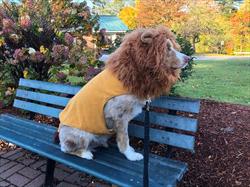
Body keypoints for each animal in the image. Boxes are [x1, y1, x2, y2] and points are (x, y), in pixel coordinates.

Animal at [59, 25, 191, 161]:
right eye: (167, 48)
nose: (188, 58)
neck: (129, 73)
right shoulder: (119, 116)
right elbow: (124, 138)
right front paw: (131, 155)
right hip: (80, 135)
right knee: (67, 148)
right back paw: (85, 153)